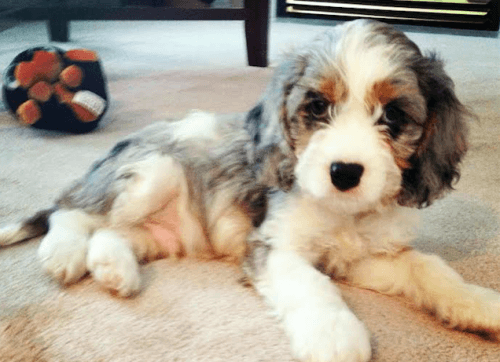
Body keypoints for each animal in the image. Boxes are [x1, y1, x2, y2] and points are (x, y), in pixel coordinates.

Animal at [0, 19, 500, 362]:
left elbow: (427, 266)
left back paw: (113, 269)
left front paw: (479, 304)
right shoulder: (271, 247)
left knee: (111, 233)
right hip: (152, 171)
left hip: (161, 232)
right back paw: (63, 254)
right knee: (72, 212)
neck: (343, 213)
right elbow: (312, 285)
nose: (344, 172)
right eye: (316, 107)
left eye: (393, 116)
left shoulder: (363, 258)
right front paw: (335, 336)